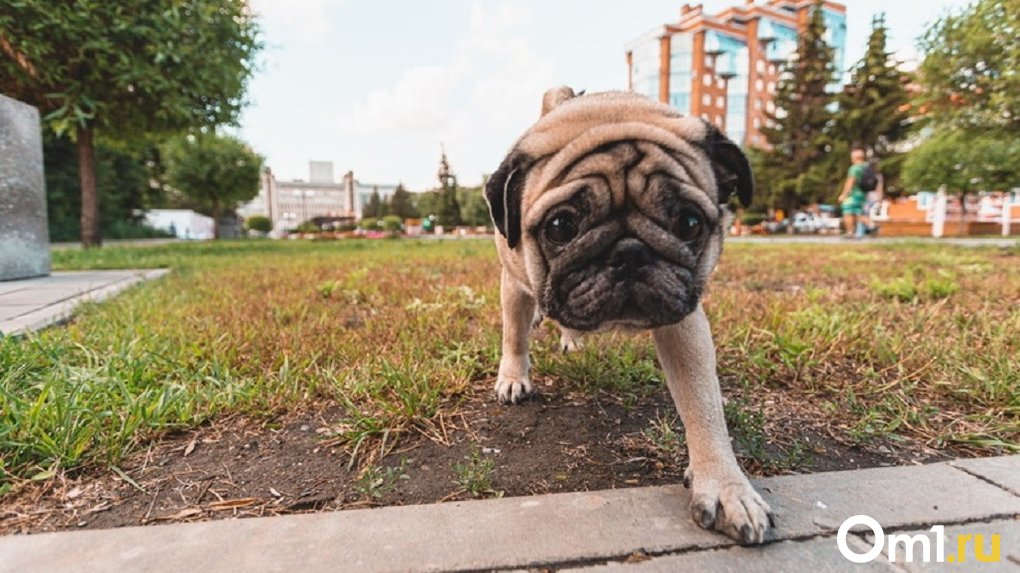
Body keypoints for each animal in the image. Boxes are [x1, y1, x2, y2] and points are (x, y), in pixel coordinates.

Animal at [485, 87, 771, 542]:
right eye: (561, 227)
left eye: (689, 223)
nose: (630, 252)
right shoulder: (513, 283)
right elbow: (514, 334)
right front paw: (513, 377)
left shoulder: (683, 321)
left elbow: (703, 405)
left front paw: (725, 485)